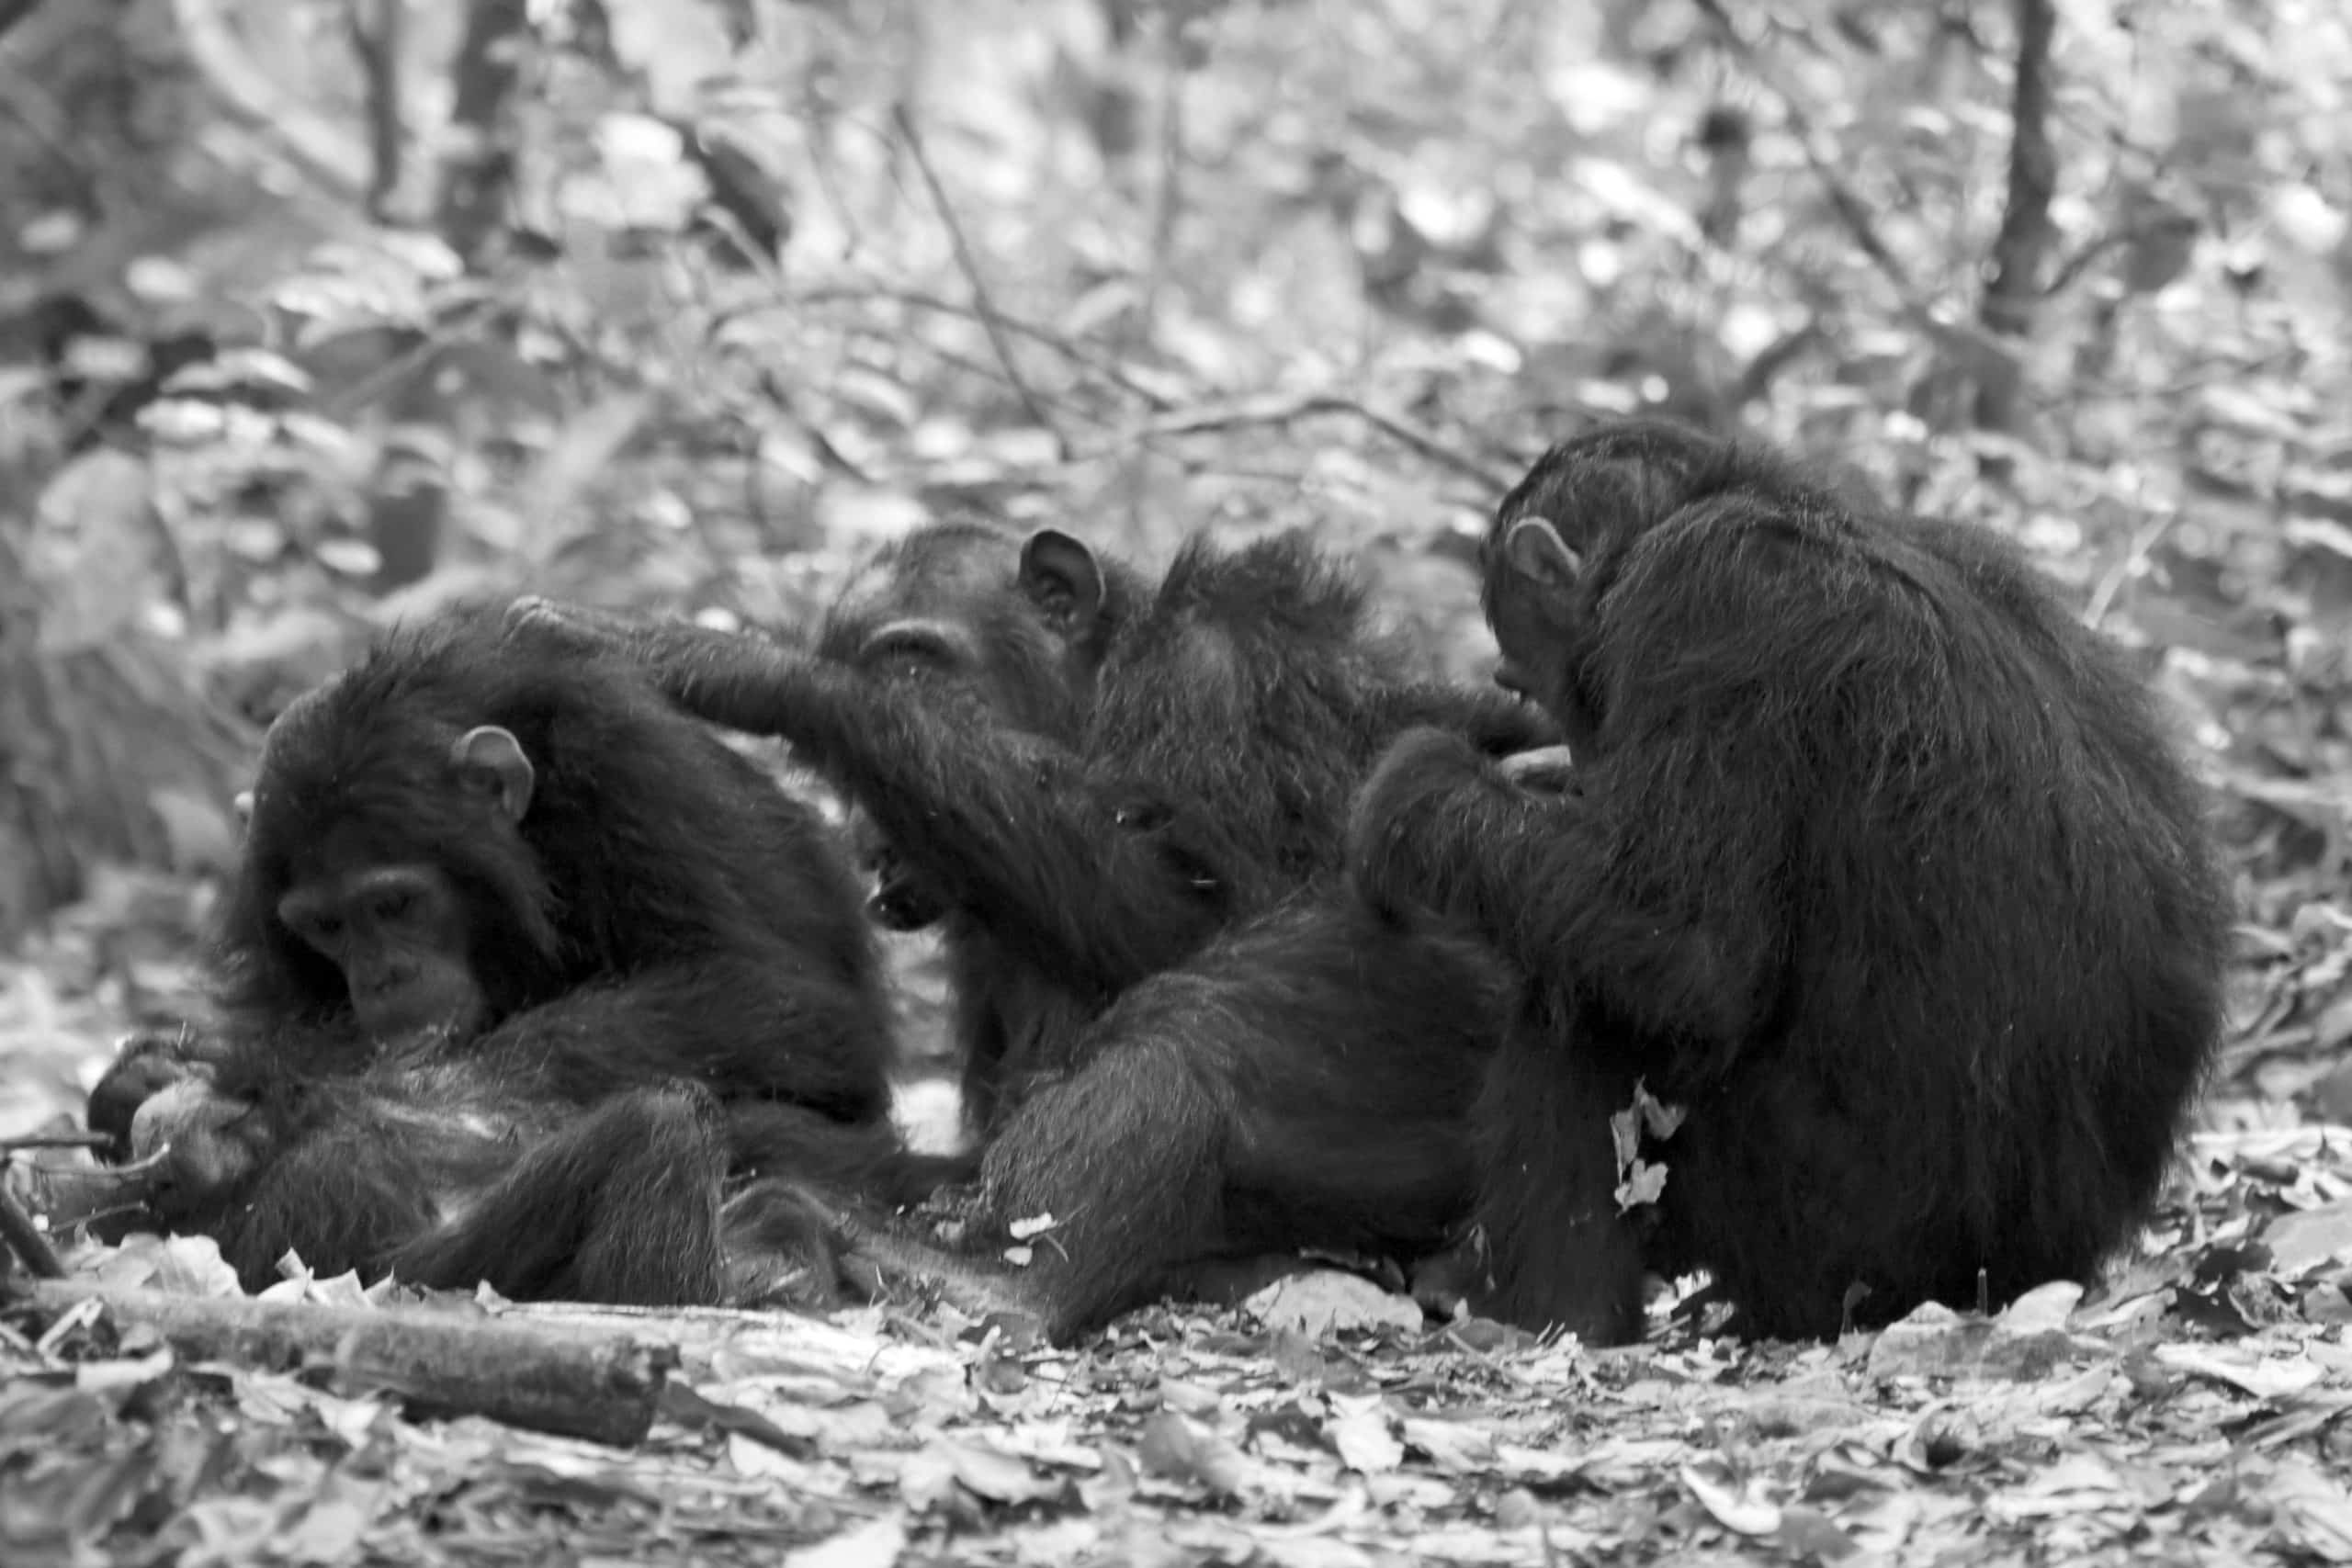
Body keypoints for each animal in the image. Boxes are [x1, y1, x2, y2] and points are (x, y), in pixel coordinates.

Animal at [91, 606, 935, 1297]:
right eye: (326, 926)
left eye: (395, 902)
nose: (384, 976)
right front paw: (156, 1076)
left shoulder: (638, 775)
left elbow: (783, 997)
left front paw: (392, 1084)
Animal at [505, 526, 1552, 1335]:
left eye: (913, 665)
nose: (867, 836)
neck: (1098, 696)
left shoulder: (1223, 674)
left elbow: (1218, 896)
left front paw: (740, 667)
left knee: (1203, 1024)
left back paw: (1002, 1288)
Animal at [1345, 423, 2220, 1344]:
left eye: (1519, 675)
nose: (1581, 749)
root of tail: (2031, 1273)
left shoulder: (1701, 606)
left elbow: (1684, 942)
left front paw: (1416, 793)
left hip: (1836, 1243)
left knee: (1584, 1004)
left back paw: (1547, 1313)